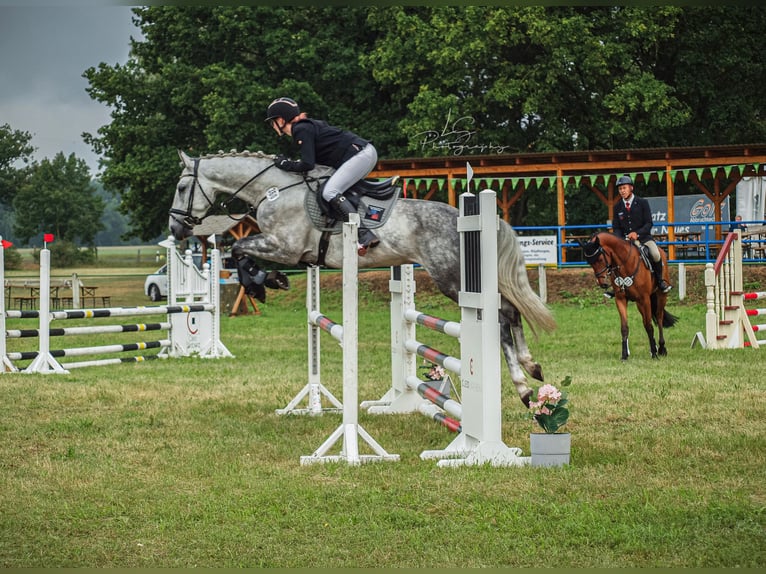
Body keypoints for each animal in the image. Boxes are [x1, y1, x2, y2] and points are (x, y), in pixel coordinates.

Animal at [168, 150, 556, 405]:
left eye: (182, 188)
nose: (175, 227)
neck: (274, 190)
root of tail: (465, 218)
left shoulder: (284, 247)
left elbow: (238, 251)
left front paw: (264, 283)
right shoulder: (290, 252)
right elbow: (240, 252)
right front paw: (271, 281)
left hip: (452, 279)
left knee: (500, 317)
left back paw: (523, 387)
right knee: (511, 311)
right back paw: (532, 366)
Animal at [582, 231, 678, 361]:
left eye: (600, 259)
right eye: (589, 262)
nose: (603, 284)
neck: (625, 264)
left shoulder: (645, 298)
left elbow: (649, 326)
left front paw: (654, 353)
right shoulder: (621, 299)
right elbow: (624, 327)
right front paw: (624, 355)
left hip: (660, 296)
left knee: (659, 317)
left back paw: (661, 348)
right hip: (639, 304)